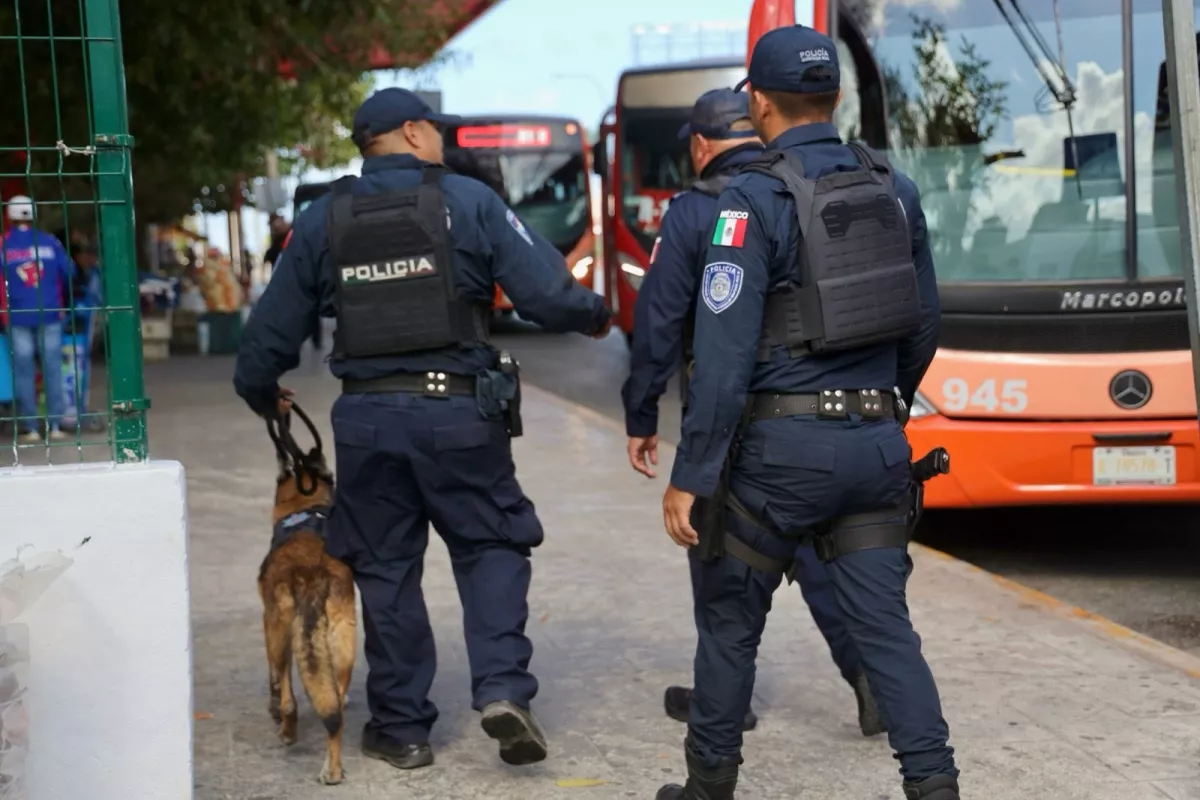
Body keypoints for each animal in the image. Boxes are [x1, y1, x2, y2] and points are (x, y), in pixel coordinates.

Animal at [260, 412, 357, 786]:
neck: (305, 509)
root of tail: (313, 577)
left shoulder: (270, 624)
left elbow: (276, 683)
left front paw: (276, 711)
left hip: (281, 632)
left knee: (291, 699)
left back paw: (288, 732)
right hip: (343, 640)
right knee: (336, 710)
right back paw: (333, 768)